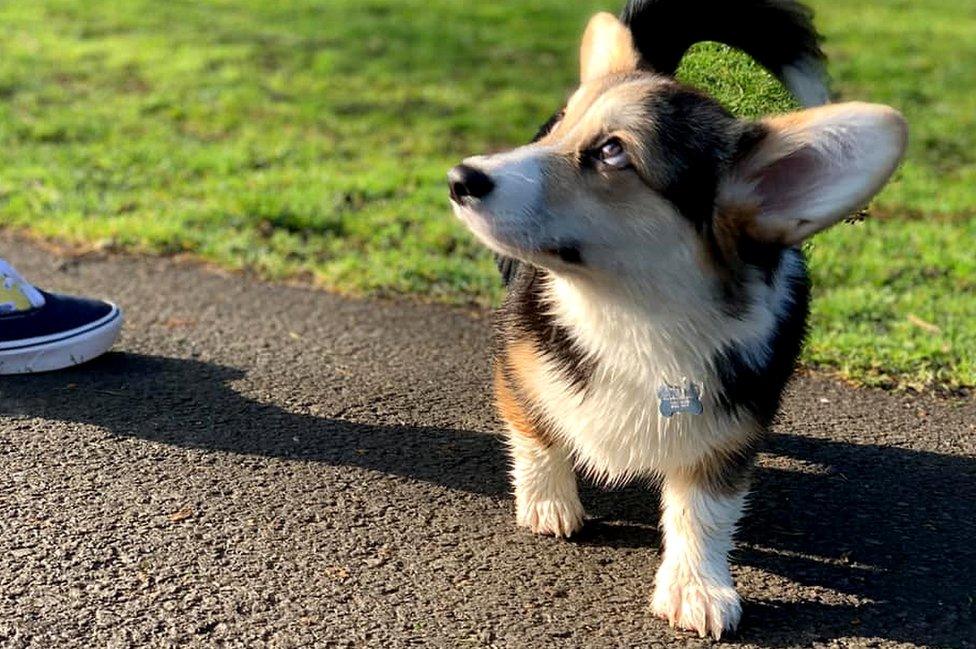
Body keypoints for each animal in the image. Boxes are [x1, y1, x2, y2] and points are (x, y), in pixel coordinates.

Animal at [450, 0, 908, 636]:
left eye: (612, 151)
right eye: (563, 127)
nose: (457, 179)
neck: (636, 313)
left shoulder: (730, 423)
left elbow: (705, 510)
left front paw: (698, 588)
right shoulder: (518, 361)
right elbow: (537, 430)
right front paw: (548, 504)